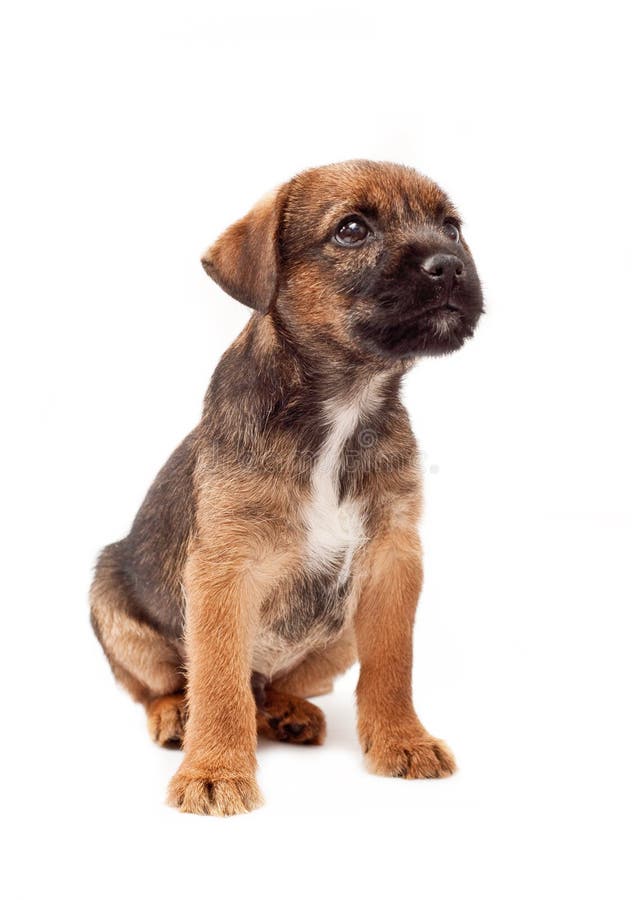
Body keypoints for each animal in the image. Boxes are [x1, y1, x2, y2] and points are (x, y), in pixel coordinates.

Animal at [89, 162, 484, 816]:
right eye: (351, 229)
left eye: (452, 228)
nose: (450, 265)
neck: (343, 406)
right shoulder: (225, 568)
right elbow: (217, 678)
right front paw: (215, 771)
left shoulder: (393, 558)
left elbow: (392, 664)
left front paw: (402, 739)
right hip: (110, 603)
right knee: (165, 684)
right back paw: (176, 715)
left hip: (340, 633)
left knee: (270, 684)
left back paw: (285, 711)